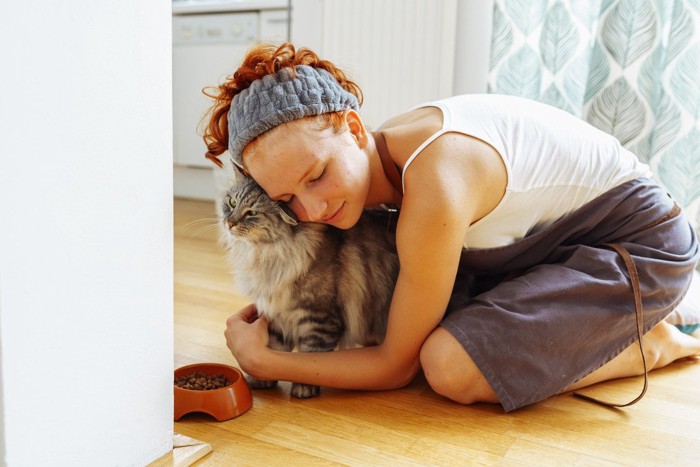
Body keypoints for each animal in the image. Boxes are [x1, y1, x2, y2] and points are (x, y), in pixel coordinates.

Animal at [219, 175, 400, 398]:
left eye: (252, 213)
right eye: (232, 202)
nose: (229, 223)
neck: (267, 255)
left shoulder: (319, 318)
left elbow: (308, 356)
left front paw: (303, 388)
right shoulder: (278, 315)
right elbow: (275, 348)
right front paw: (262, 380)